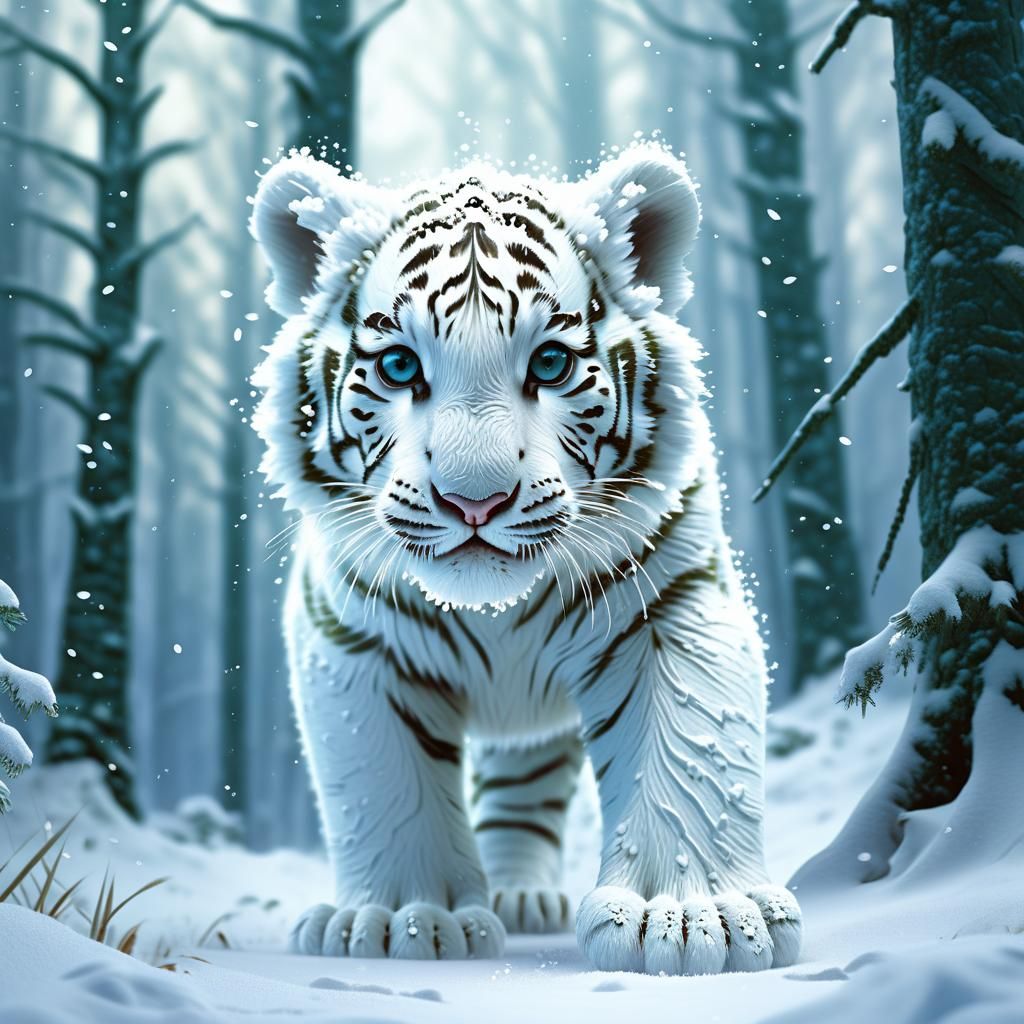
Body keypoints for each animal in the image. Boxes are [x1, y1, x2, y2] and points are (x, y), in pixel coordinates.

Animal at [249, 142, 801, 975]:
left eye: (548, 365)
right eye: (401, 367)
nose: (473, 501)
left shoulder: (674, 607)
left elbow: (692, 750)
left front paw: (692, 919)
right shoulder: (352, 637)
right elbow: (385, 780)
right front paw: (397, 921)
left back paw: (524, 896)